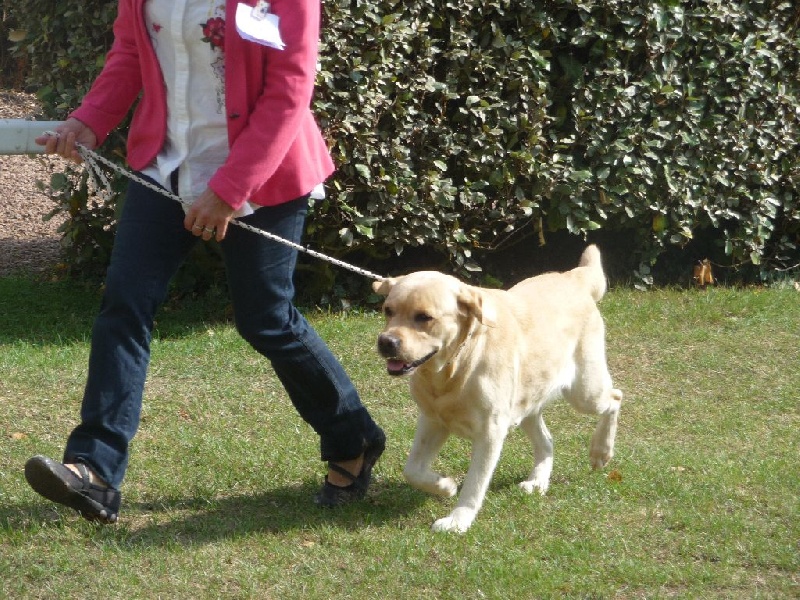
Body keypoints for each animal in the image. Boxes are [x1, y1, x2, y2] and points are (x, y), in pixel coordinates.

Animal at [372, 246, 620, 532]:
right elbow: (412, 470)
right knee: (547, 440)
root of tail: (574, 276)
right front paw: (445, 485)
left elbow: (474, 484)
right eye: (388, 310)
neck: (455, 368)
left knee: (615, 398)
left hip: (585, 391)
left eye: (424, 317)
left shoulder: (489, 432)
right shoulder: (433, 420)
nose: (386, 342)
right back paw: (538, 482)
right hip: (527, 402)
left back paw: (601, 452)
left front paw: (458, 520)